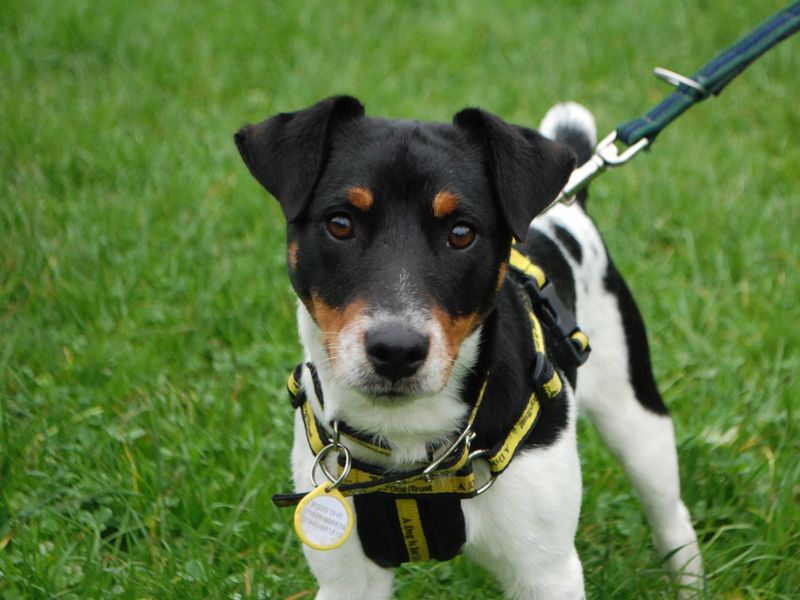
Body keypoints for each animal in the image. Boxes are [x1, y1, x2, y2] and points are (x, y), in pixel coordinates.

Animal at [234, 96, 704, 596]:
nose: (396, 350)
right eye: (340, 224)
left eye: (461, 232)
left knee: (671, 517)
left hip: (636, 418)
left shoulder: (546, 573)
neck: (409, 443)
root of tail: (568, 209)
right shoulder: (348, 578)